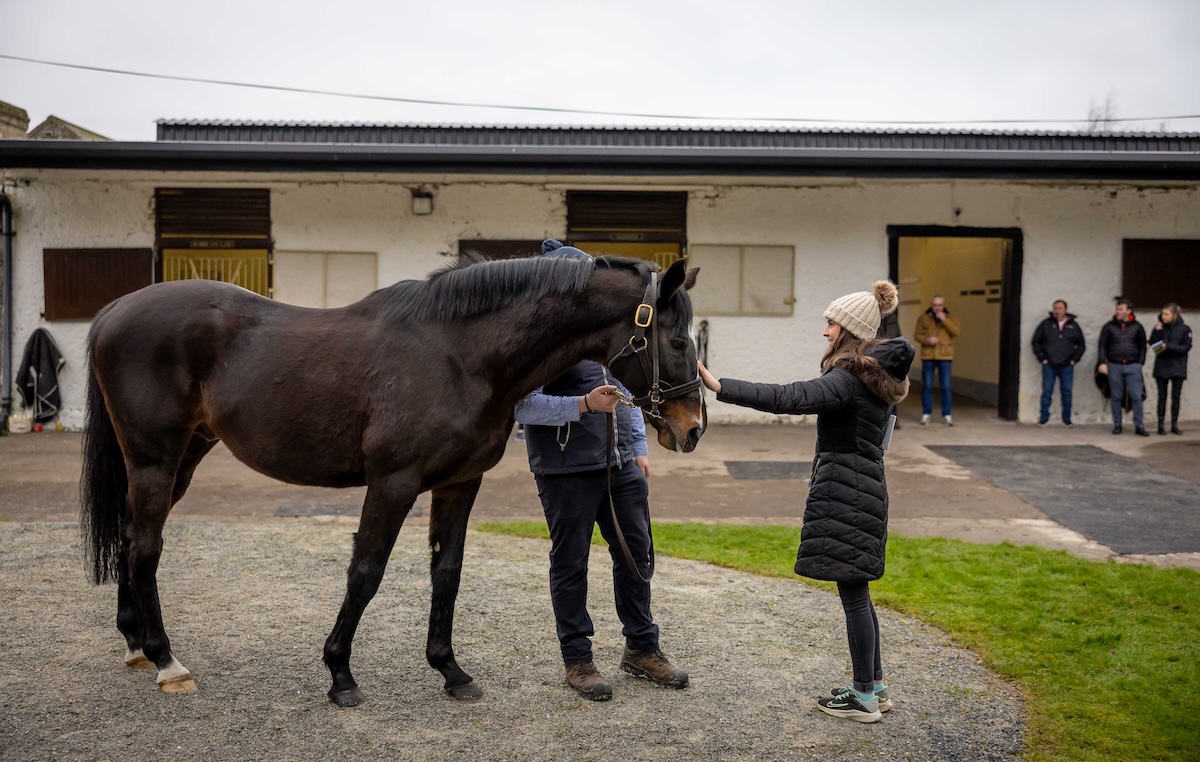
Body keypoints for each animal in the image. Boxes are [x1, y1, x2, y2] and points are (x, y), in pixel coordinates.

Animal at [79, 253, 700, 705]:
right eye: (677, 341)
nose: (691, 428)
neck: (460, 355)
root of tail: (113, 312)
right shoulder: (393, 484)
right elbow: (366, 573)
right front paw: (340, 675)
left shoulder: (459, 485)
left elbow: (446, 574)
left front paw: (451, 671)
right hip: (155, 458)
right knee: (147, 548)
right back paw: (167, 661)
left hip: (184, 457)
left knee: (132, 539)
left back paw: (137, 644)